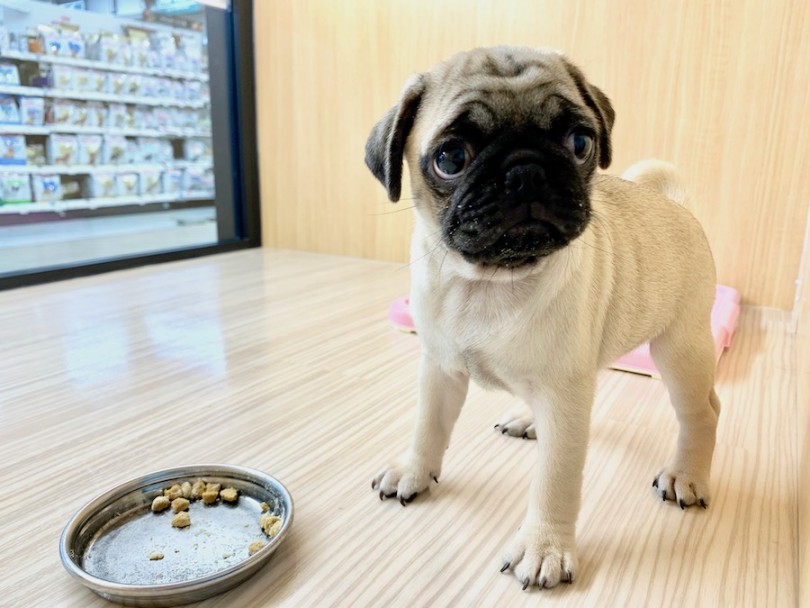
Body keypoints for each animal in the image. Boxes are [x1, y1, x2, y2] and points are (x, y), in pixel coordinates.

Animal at [365, 46, 720, 590]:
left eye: (580, 143)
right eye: (450, 158)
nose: (526, 170)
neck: (489, 282)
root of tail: (677, 206)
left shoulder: (564, 399)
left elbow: (554, 482)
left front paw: (543, 547)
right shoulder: (439, 369)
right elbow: (427, 426)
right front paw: (414, 470)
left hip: (679, 350)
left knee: (704, 412)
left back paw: (687, 475)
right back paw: (529, 420)